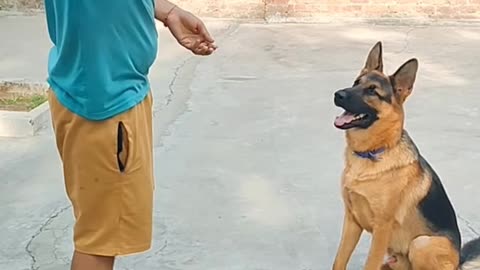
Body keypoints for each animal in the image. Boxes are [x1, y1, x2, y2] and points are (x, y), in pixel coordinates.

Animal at [332, 41, 480, 268]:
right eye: (356, 82)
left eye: (372, 91)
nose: (337, 94)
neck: (372, 153)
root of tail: (458, 261)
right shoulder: (351, 220)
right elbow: (338, 260)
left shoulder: (381, 229)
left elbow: (370, 264)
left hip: (421, 244)